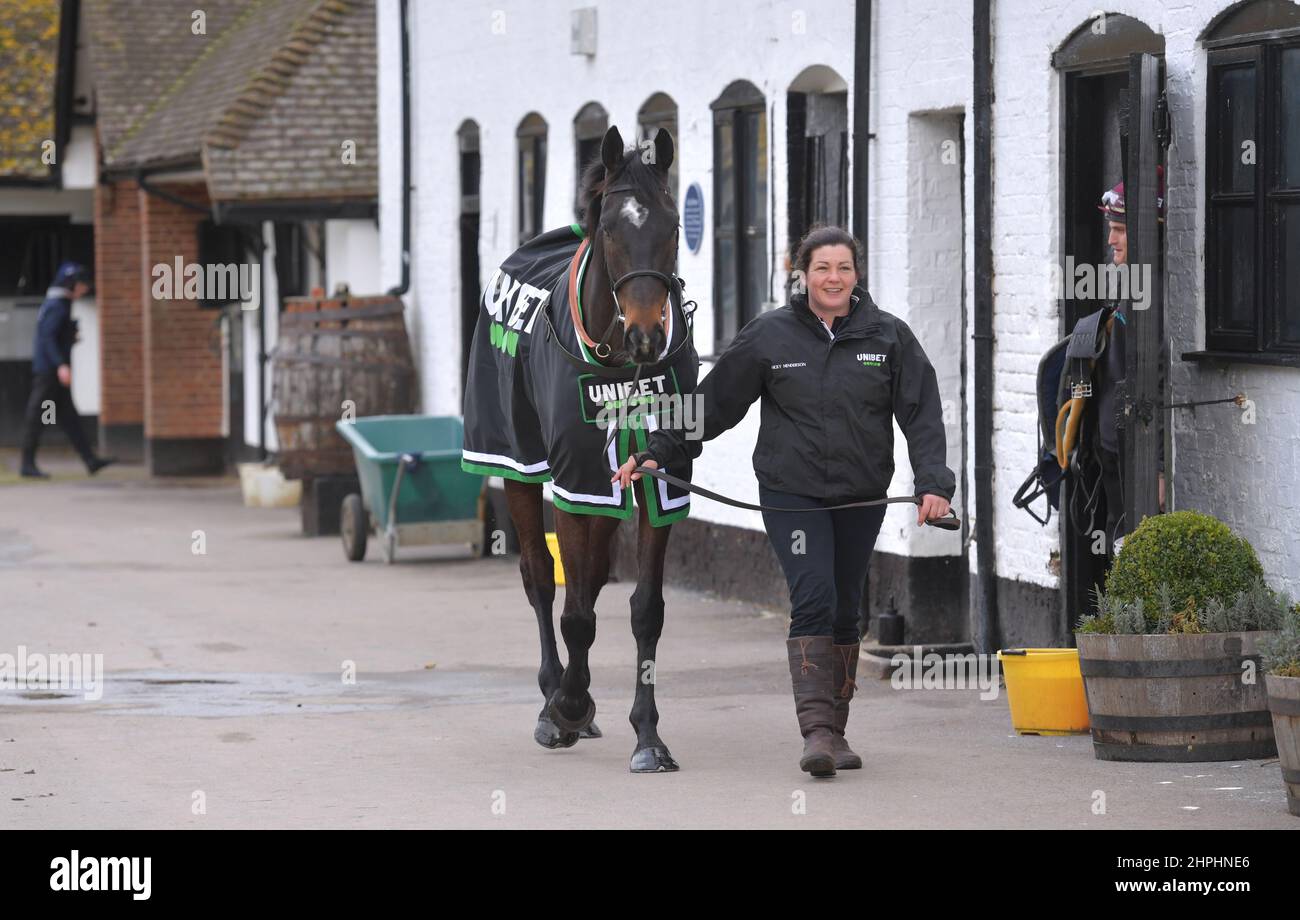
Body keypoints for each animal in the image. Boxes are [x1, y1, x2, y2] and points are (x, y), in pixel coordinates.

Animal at [462, 126, 696, 774]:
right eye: (612, 227)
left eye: (672, 225)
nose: (645, 333)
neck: (617, 366)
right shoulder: (573, 478)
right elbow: (570, 608)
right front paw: (565, 705)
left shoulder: (655, 478)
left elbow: (643, 608)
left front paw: (648, 734)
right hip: (517, 464)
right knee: (542, 579)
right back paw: (555, 695)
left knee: (588, 579)